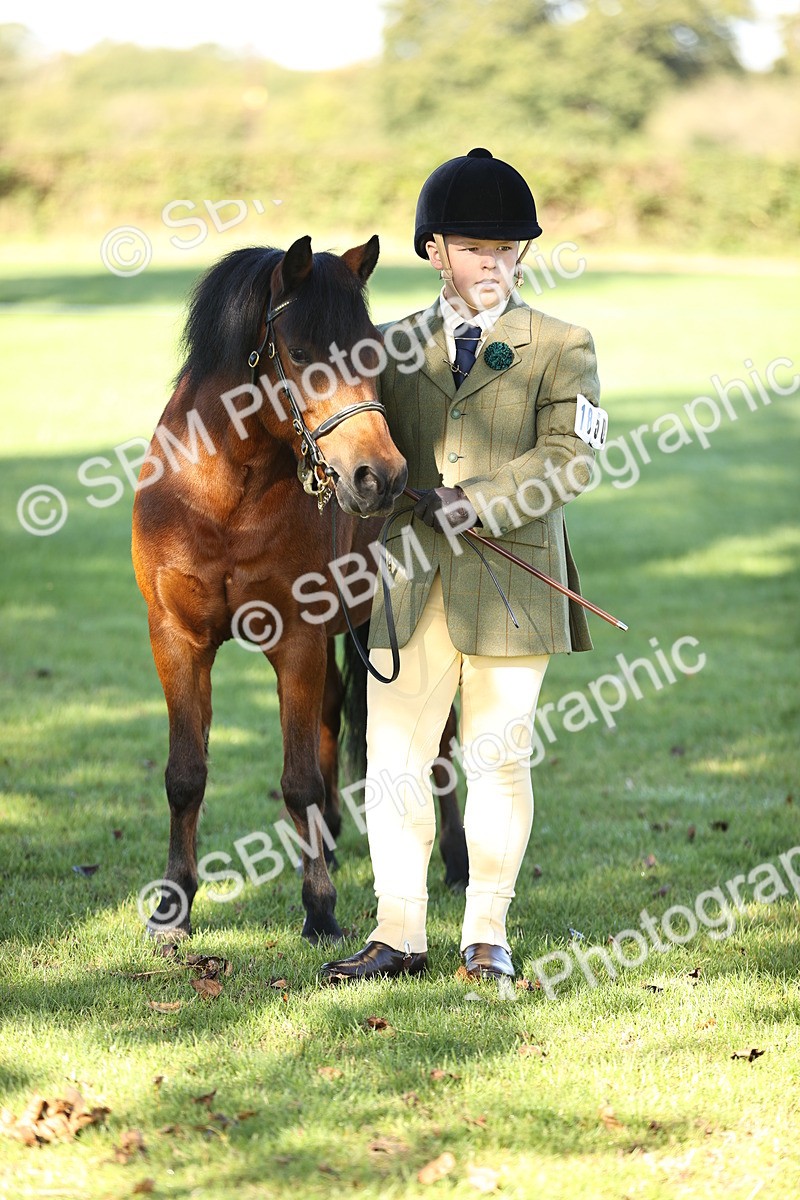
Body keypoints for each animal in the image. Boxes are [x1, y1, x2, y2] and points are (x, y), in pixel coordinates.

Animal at [132, 234, 468, 946]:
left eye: (373, 352)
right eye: (305, 353)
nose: (380, 477)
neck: (223, 499)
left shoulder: (297, 642)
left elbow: (300, 782)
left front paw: (319, 910)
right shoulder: (177, 639)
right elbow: (185, 775)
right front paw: (172, 907)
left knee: (441, 741)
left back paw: (454, 861)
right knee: (333, 716)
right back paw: (333, 844)